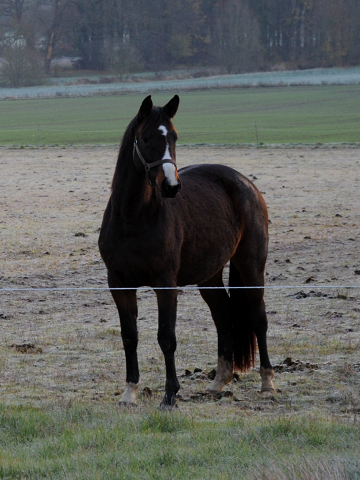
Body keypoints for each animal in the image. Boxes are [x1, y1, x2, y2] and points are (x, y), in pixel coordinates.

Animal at [98, 94, 276, 408]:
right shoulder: (119, 284)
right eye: (145, 138)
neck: (132, 218)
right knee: (224, 316)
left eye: (174, 137)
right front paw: (130, 392)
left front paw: (170, 395)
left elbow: (166, 337)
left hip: (251, 265)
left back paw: (267, 383)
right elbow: (129, 336)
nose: (170, 186)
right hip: (209, 276)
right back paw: (218, 382)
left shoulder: (165, 284)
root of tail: (244, 183)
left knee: (258, 317)